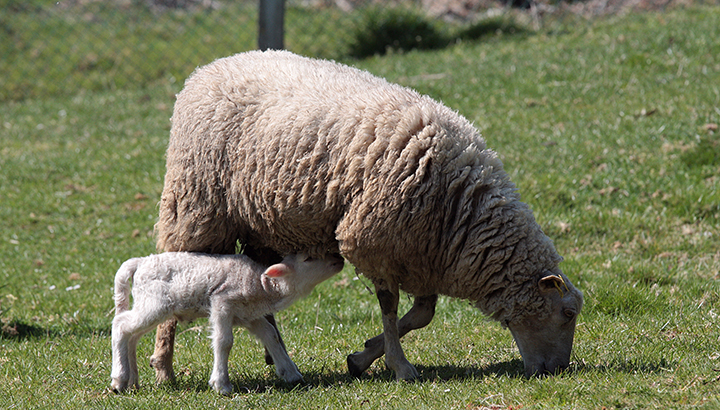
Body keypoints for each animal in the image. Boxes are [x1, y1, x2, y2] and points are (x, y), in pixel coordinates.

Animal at [111, 251, 344, 396]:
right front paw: (221, 384)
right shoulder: (222, 302)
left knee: (131, 336)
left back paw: (132, 381)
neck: (260, 285)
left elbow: (271, 335)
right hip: (155, 303)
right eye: (308, 258)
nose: (339, 259)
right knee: (120, 325)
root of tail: (140, 262)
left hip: (149, 305)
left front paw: (290, 373)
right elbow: (224, 341)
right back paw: (119, 379)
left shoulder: (250, 315)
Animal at [149, 50, 584, 382]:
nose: (557, 370)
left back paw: (277, 356)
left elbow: (422, 314)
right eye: (566, 313)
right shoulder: (375, 240)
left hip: (264, 224)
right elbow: (390, 307)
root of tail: (207, 69)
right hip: (196, 209)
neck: (463, 207)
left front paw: (363, 356)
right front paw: (399, 365)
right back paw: (163, 368)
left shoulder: (423, 251)